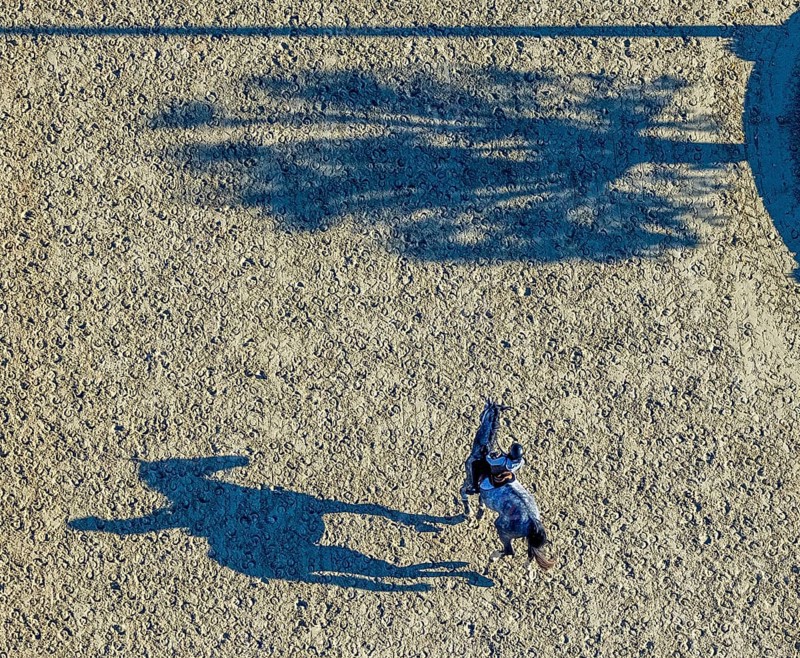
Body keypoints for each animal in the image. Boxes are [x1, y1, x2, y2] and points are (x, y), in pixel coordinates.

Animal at [460, 399, 555, 576]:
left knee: (510, 551)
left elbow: (463, 492)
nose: (479, 416)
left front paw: (468, 512)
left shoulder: (470, 481)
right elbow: (481, 500)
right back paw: (528, 568)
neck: (483, 451)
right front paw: (479, 514)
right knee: (530, 553)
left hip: (503, 530)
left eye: (485, 409)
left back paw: (493, 556)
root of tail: (533, 522)